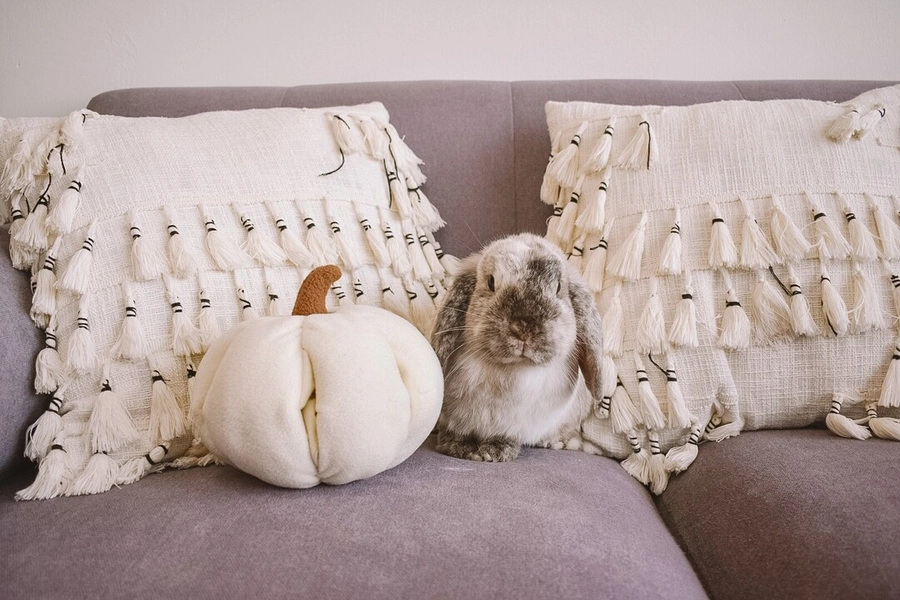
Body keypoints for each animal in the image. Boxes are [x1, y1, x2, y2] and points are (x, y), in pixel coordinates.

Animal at [430, 233, 604, 462]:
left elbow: (505, 437)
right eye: (491, 282)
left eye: (558, 287)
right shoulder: (453, 418)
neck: (509, 372)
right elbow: (455, 433)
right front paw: (460, 448)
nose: (523, 329)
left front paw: (495, 452)